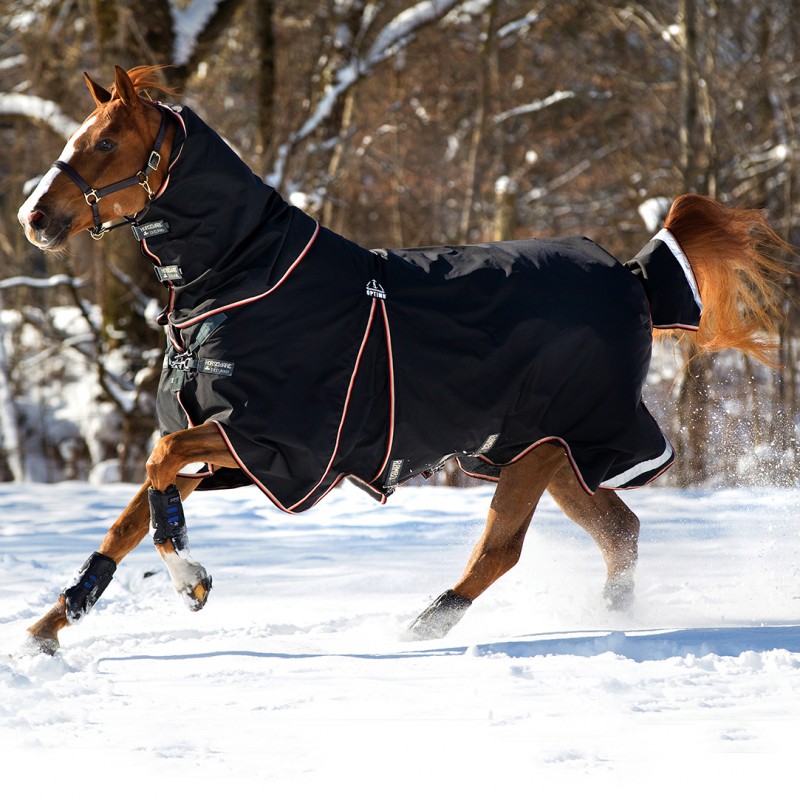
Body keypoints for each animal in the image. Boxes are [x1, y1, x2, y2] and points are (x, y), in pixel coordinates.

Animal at [17, 65, 789, 655]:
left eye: (106, 141)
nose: (34, 218)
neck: (244, 275)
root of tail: (634, 276)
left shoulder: (275, 441)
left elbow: (158, 467)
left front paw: (190, 578)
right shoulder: (241, 453)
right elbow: (131, 513)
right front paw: (53, 623)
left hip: (541, 447)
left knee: (502, 551)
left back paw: (424, 626)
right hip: (553, 453)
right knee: (620, 533)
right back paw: (609, 618)